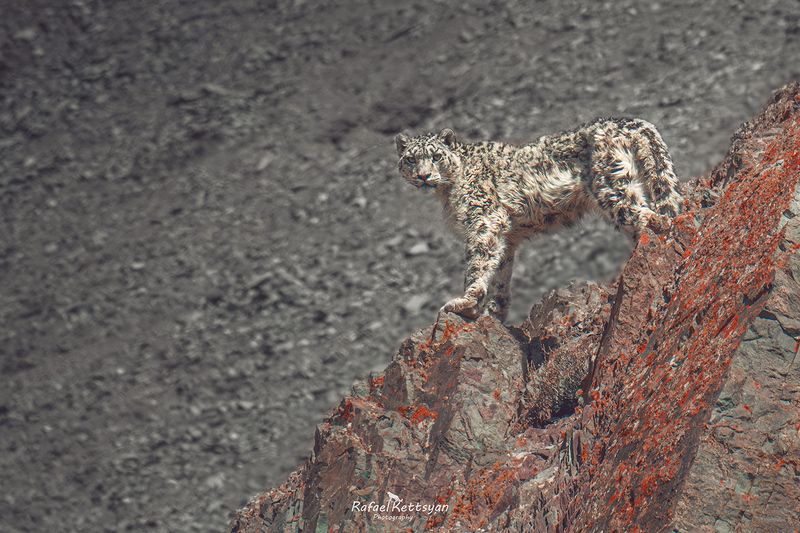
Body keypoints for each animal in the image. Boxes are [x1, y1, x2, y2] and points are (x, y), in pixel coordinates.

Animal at [394, 118, 682, 324]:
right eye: (410, 159)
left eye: (436, 156)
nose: (423, 176)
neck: (448, 192)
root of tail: (628, 122)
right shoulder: (507, 237)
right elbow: (500, 274)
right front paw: (492, 313)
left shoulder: (484, 219)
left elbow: (478, 263)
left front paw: (465, 302)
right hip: (631, 184)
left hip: (611, 188)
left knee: (651, 218)